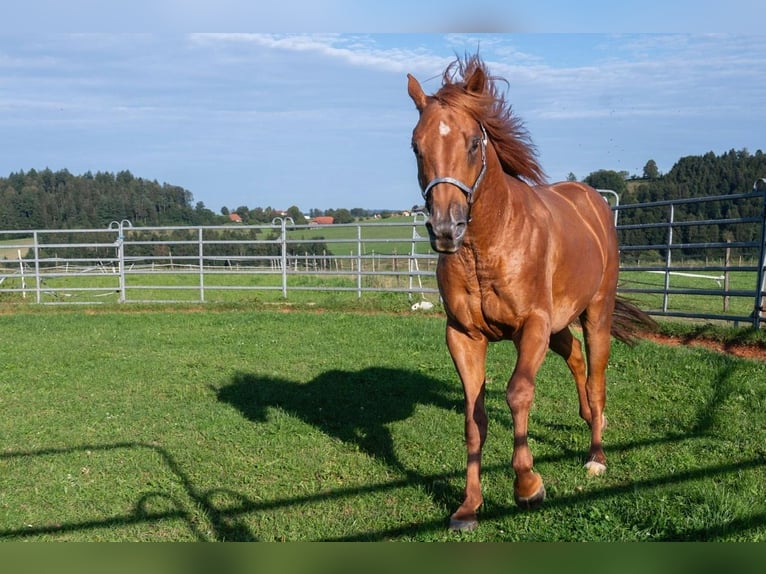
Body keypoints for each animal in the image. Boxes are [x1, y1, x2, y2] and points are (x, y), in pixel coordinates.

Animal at [408, 56, 656, 532]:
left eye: (473, 143)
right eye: (416, 147)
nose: (446, 228)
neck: (489, 247)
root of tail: (592, 201)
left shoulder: (533, 327)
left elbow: (517, 393)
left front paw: (527, 485)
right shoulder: (463, 337)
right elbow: (474, 418)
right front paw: (469, 505)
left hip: (595, 314)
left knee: (596, 377)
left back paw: (596, 455)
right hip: (560, 326)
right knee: (575, 357)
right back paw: (588, 418)